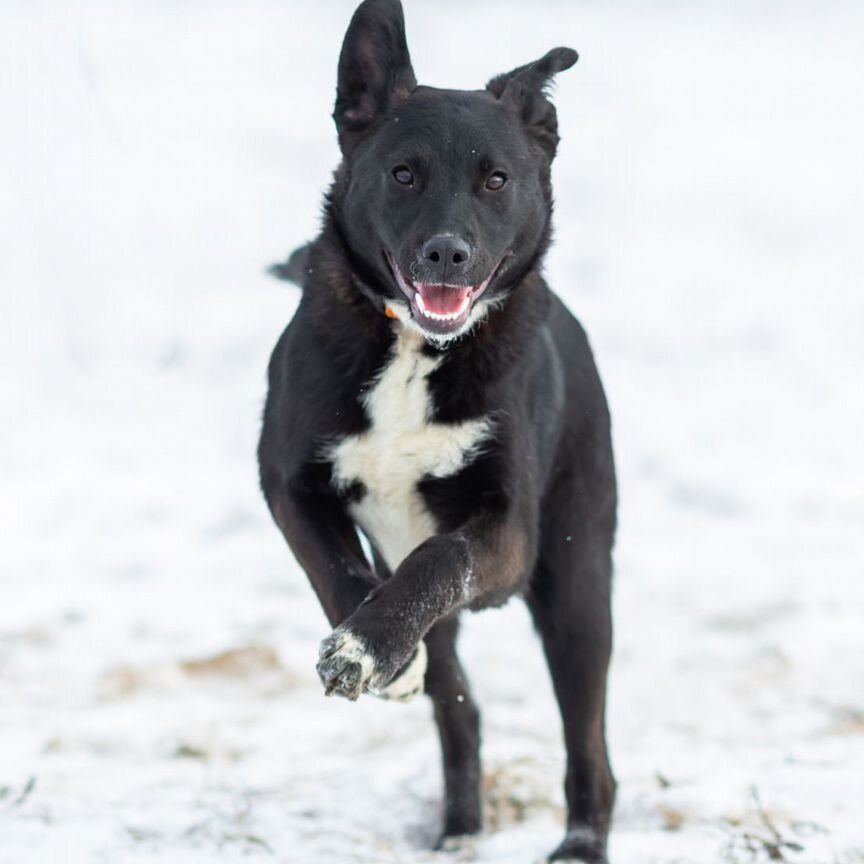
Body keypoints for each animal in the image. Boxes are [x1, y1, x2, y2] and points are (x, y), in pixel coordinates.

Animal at [260, 3, 616, 860]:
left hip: (578, 578)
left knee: (589, 740)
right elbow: (337, 570)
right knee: (462, 709)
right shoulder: (286, 481)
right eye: (403, 173)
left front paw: (368, 646)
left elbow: (442, 556)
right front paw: (378, 653)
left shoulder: (508, 531)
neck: (416, 349)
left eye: (496, 179)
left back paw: (580, 840)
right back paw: (459, 829)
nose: (447, 252)